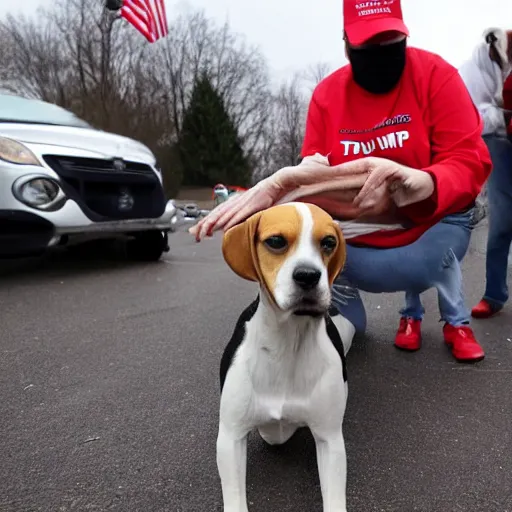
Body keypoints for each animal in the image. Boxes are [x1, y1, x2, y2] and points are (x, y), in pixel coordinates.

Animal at [216, 202, 356, 512]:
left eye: (328, 243)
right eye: (276, 241)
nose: (308, 276)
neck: (288, 343)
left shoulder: (329, 440)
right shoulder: (231, 437)